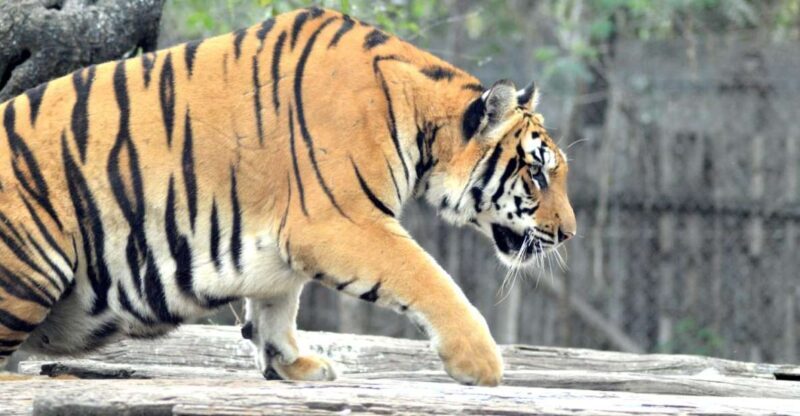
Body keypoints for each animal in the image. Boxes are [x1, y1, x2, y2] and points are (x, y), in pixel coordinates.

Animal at [0, 7, 575, 386]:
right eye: (538, 174)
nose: (569, 233)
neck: (419, 120)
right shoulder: (339, 221)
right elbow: (428, 277)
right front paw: (481, 363)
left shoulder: (285, 236)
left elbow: (277, 302)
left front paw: (290, 363)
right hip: (33, 263)